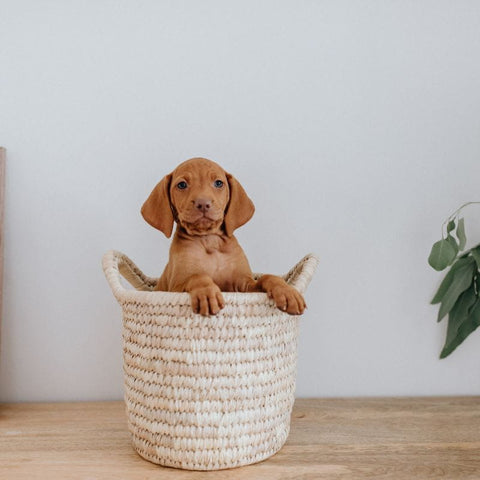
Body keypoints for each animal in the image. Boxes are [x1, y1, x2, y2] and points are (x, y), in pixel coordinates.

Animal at [142, 157, 306, 318]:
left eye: (218, 183)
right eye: (182, 185)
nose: (203, 203)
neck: (209, 241)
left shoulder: (244, 284)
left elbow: (267, 277)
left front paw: (286, 291)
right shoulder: (174, 288)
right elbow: (197, 277)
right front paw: (206, 293)